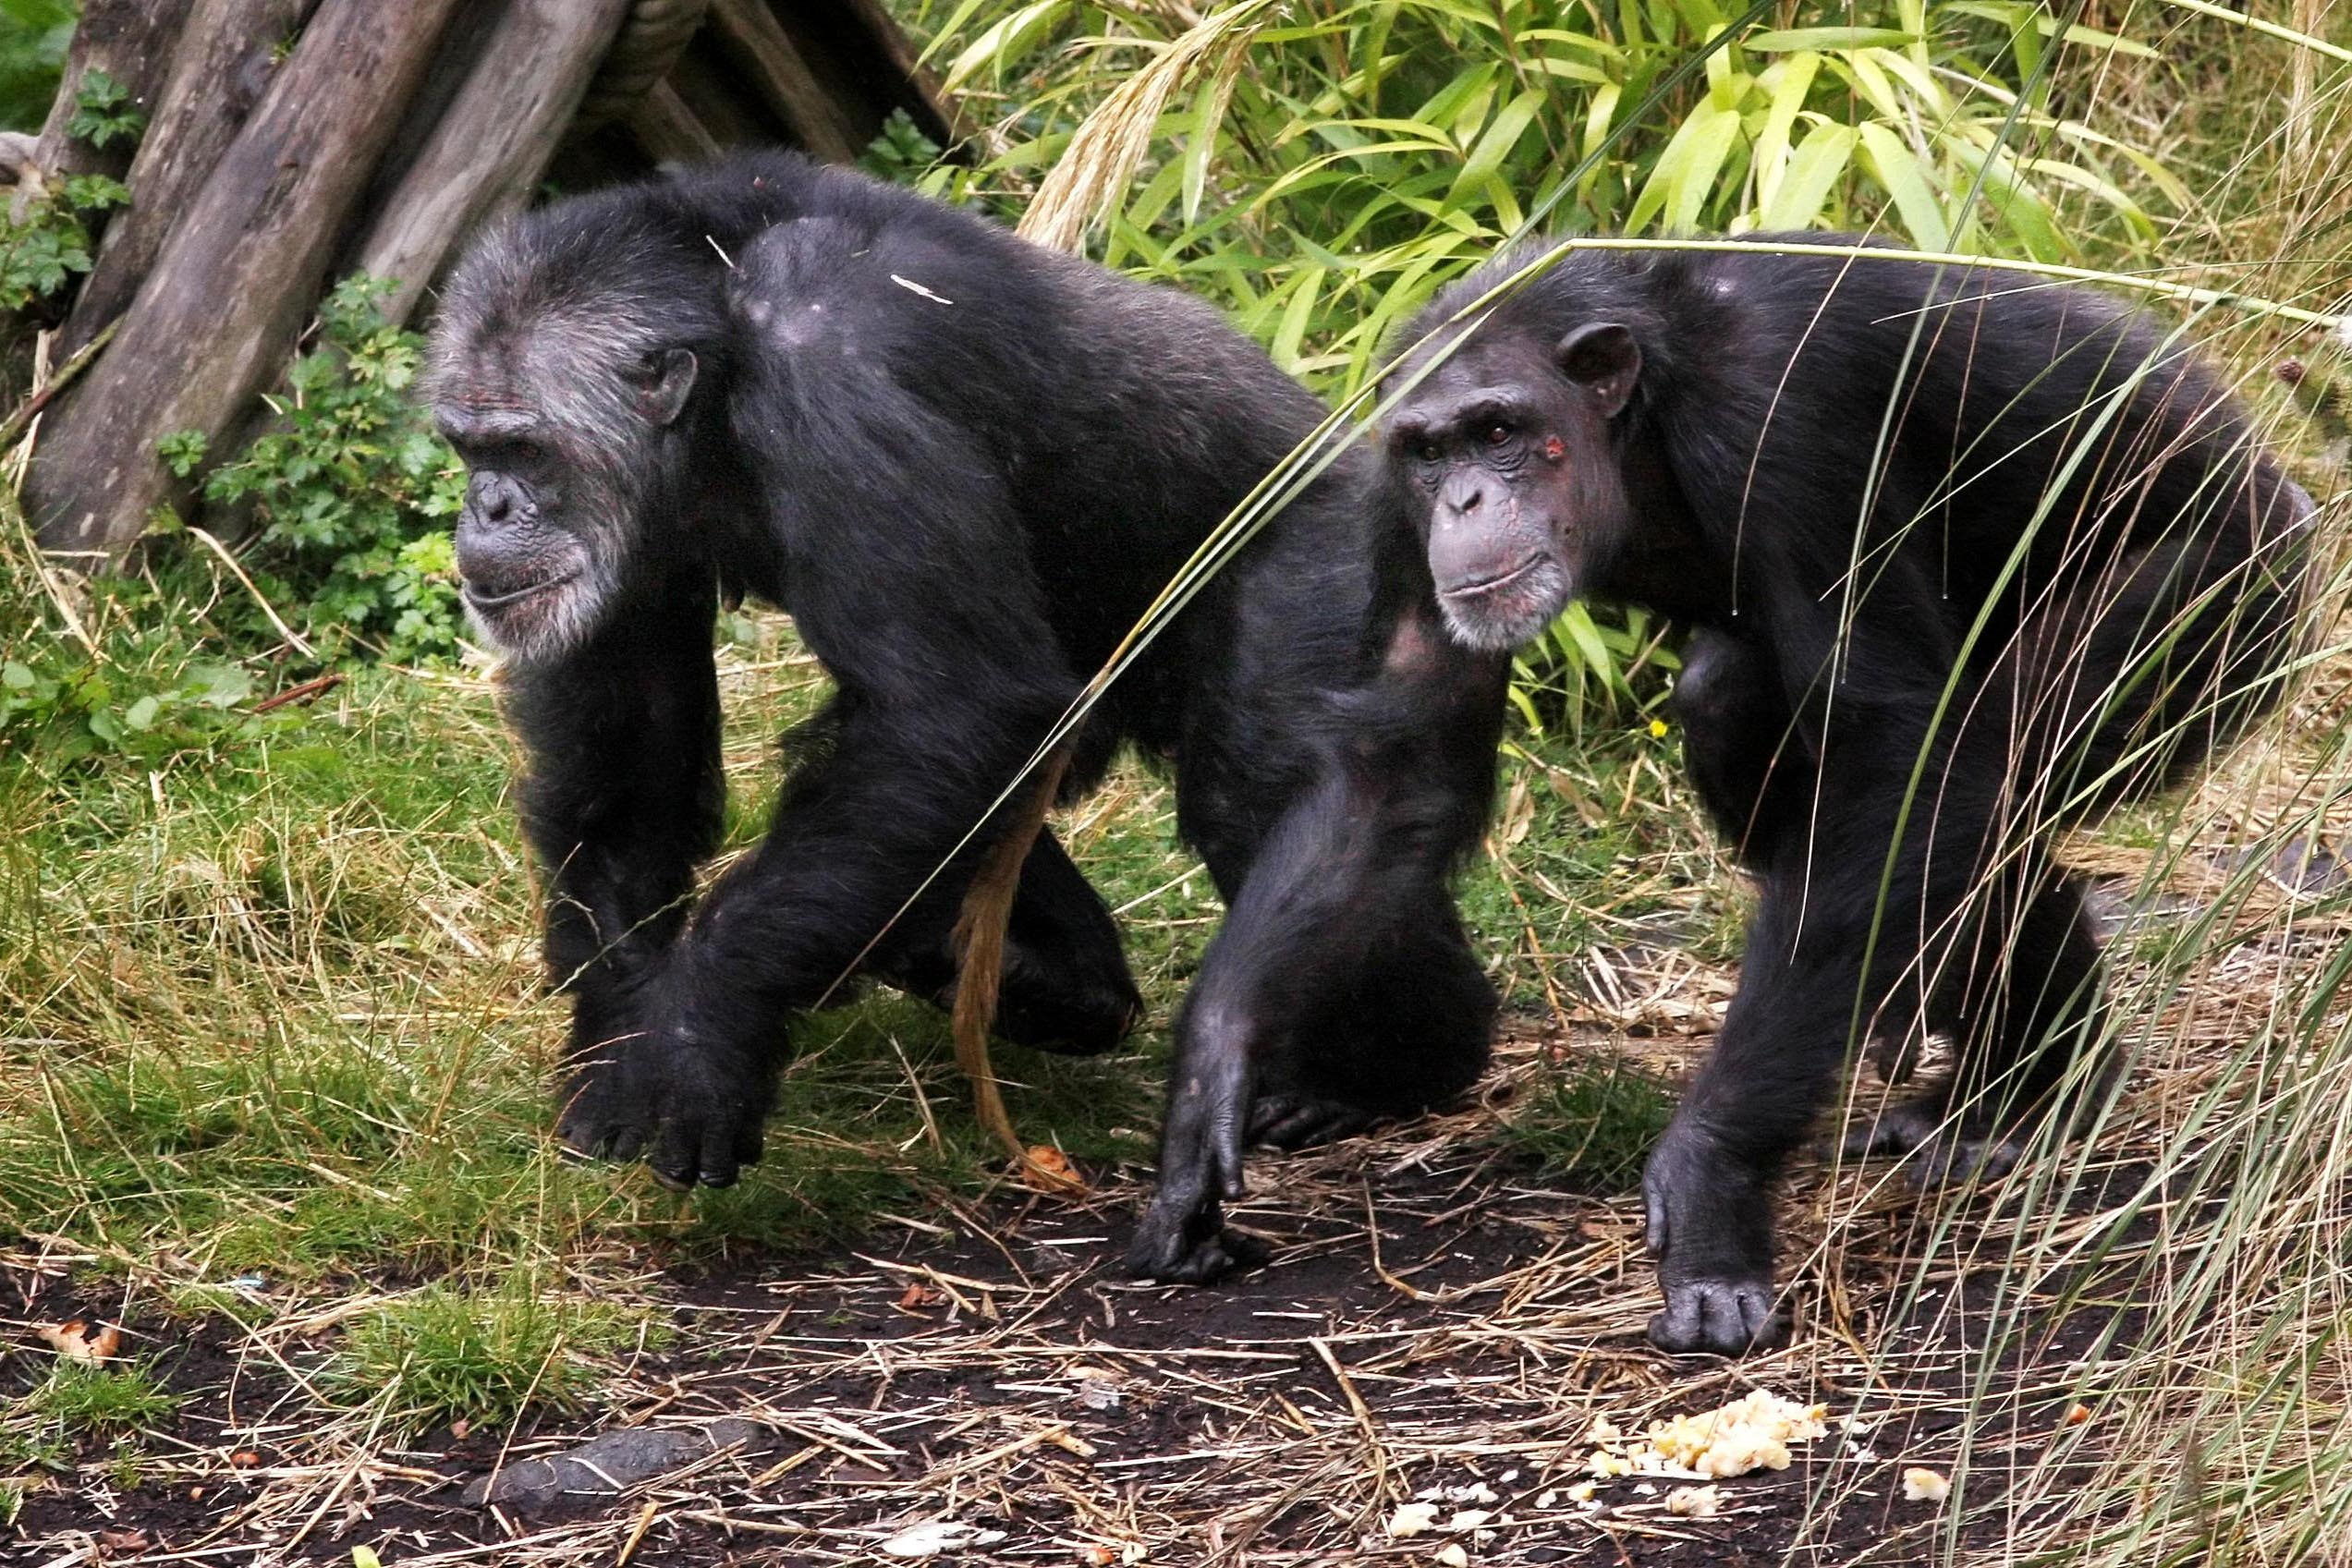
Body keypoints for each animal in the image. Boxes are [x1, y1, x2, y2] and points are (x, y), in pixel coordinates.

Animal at [423, 143, 1505, 1279]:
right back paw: (1047, 977)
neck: (719, 345)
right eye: (467, 445)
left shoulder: (834, 366)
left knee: (1258, 790)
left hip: (1340, 562)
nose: (485, 506)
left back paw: (1400, 1063)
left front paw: (696, 1038)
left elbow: (950, 707)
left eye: (525, 450)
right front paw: (617, 1047)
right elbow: (635, 760)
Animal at [1373, 239, 2314, 1354]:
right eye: (1429, 452)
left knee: (1986, 757)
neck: (1644, 412)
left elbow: (1893, 744)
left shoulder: (1777, 415)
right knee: (1757, 715)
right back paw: (2011, 1085)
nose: (1463, 501)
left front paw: (1713, 1181)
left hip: (2218, 602)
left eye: (1500, 430)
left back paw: (2035, 1095)